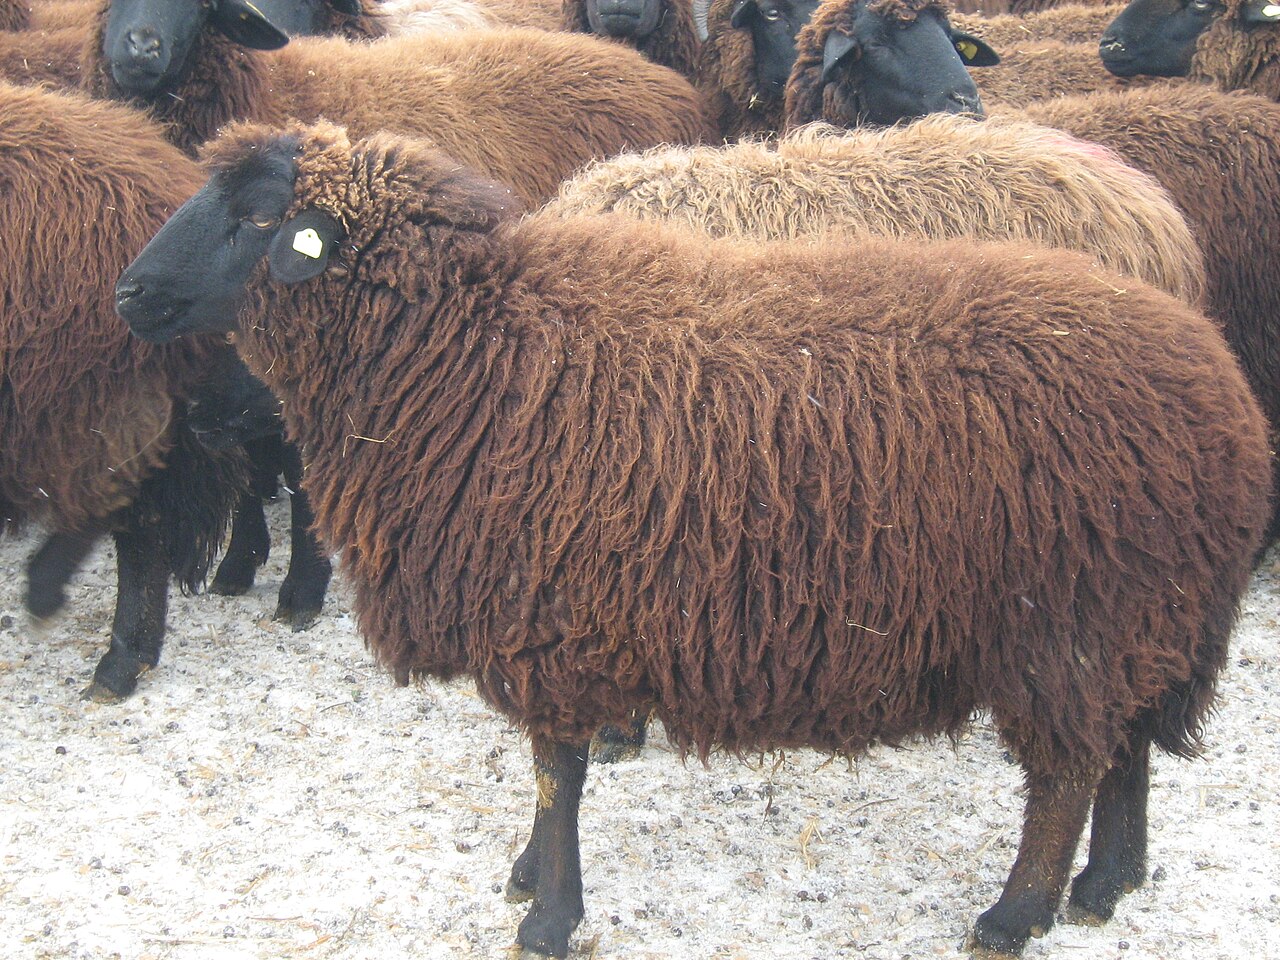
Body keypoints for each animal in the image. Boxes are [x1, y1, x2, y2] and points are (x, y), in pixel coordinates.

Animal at [118, 119, 1270, 959]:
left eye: (255, 218)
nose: (129, 292)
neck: (469, 355)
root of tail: (1214, 380)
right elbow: (555, 775)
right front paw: (531, 877)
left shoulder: (548, 620)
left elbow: (558, 772)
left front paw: (546, 914)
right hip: (1137, 618)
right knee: (1126, 752)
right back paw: (1107, 884)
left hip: (1070, 625)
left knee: (1068, 777)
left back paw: (1015, 914)